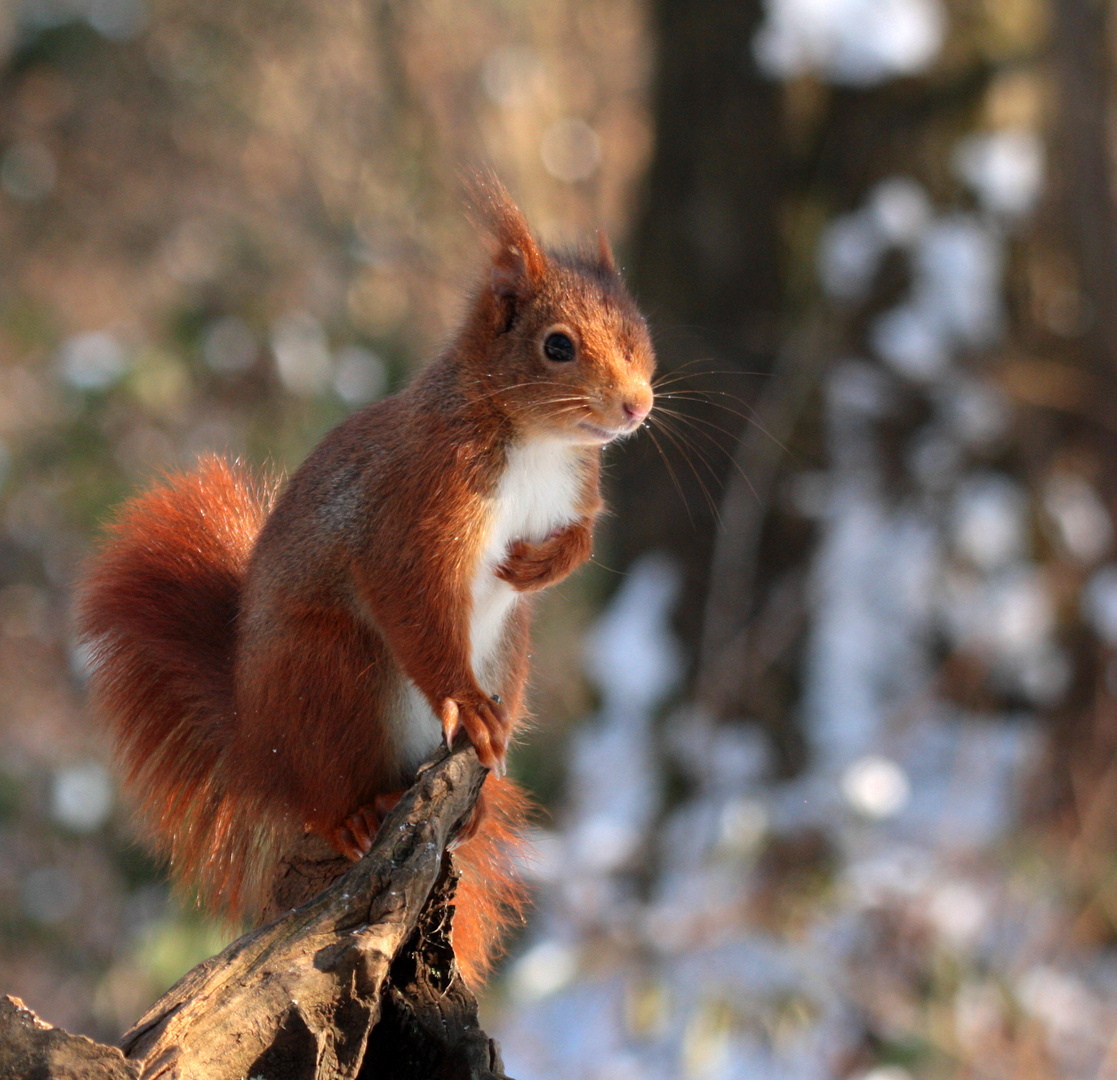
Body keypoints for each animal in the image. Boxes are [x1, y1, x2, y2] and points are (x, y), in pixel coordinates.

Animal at [76, 179, 652, 987]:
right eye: (557, 346)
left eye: (639, 331)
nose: (637, 406)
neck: (537, 442)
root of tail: (256, 739)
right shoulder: (416, 506)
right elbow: (409, 596)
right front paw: (467, 703)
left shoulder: (577, 491)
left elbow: (580, 539)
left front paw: (537, 566)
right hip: (331, 671)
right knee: (320, 790)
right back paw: (351, 810)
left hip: (509, 653)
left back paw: (470, 806)